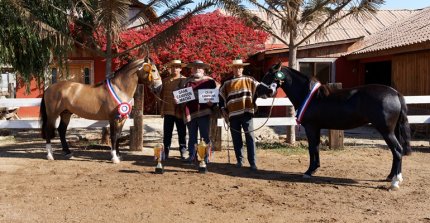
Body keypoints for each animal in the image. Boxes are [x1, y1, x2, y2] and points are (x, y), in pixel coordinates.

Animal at [260, 62, 412, 190]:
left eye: (269, 75)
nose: (261, 92)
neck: (309, 96)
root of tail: (395, 93)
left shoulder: (310, 127)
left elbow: (311, 148)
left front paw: (308, 171)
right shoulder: (317, 128)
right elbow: (316, 147)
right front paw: (315, 169)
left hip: (386, 131)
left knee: (397, 150)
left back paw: (395, 182)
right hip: (393, 131)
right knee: (396, 152)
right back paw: (392, 177)